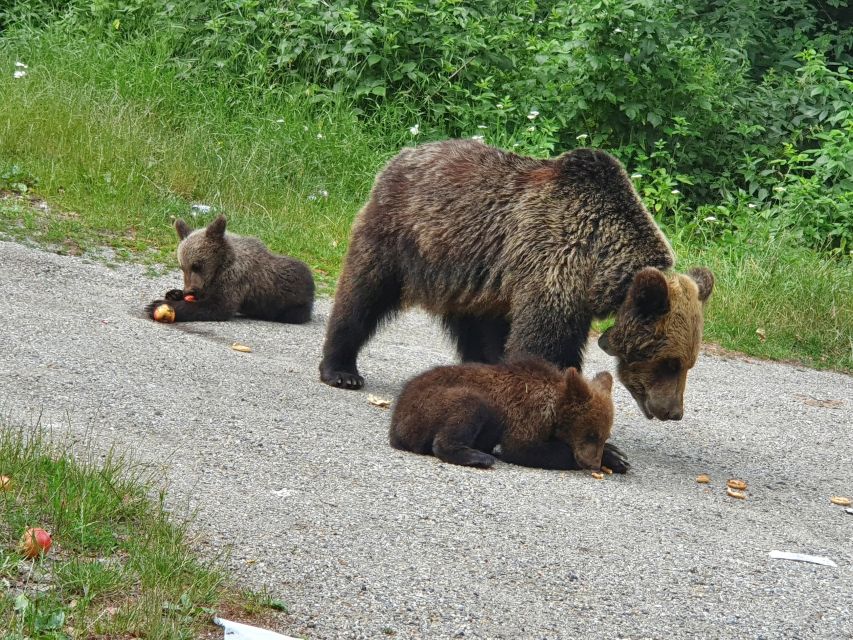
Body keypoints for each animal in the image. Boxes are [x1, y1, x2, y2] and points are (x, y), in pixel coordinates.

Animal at [145, 215, 314, 322]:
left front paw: (157, 305)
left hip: (292, 303)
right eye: (182, 267)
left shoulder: (235, 280)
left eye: (197, 265)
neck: (220, 266)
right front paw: (174, 294)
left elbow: (217, 307)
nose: (189, 290)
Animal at [320, 139, 712, 420]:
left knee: (477, 329)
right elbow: (544, 345)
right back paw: (341, 369)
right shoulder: (554, 265)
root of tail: (406, 152)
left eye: (688, 363)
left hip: (473, 275)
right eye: (670, 362)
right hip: (400, 233)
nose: (673, 412)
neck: (598, 262)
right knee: (364, 293)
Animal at [390, 360, 624, 470]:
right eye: (591, 434)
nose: (592, 464)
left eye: (604, 435)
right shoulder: (528, 414)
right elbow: (521, 448)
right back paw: (478, 456)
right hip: (430, 405)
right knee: (469, 405)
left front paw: (617, 457)